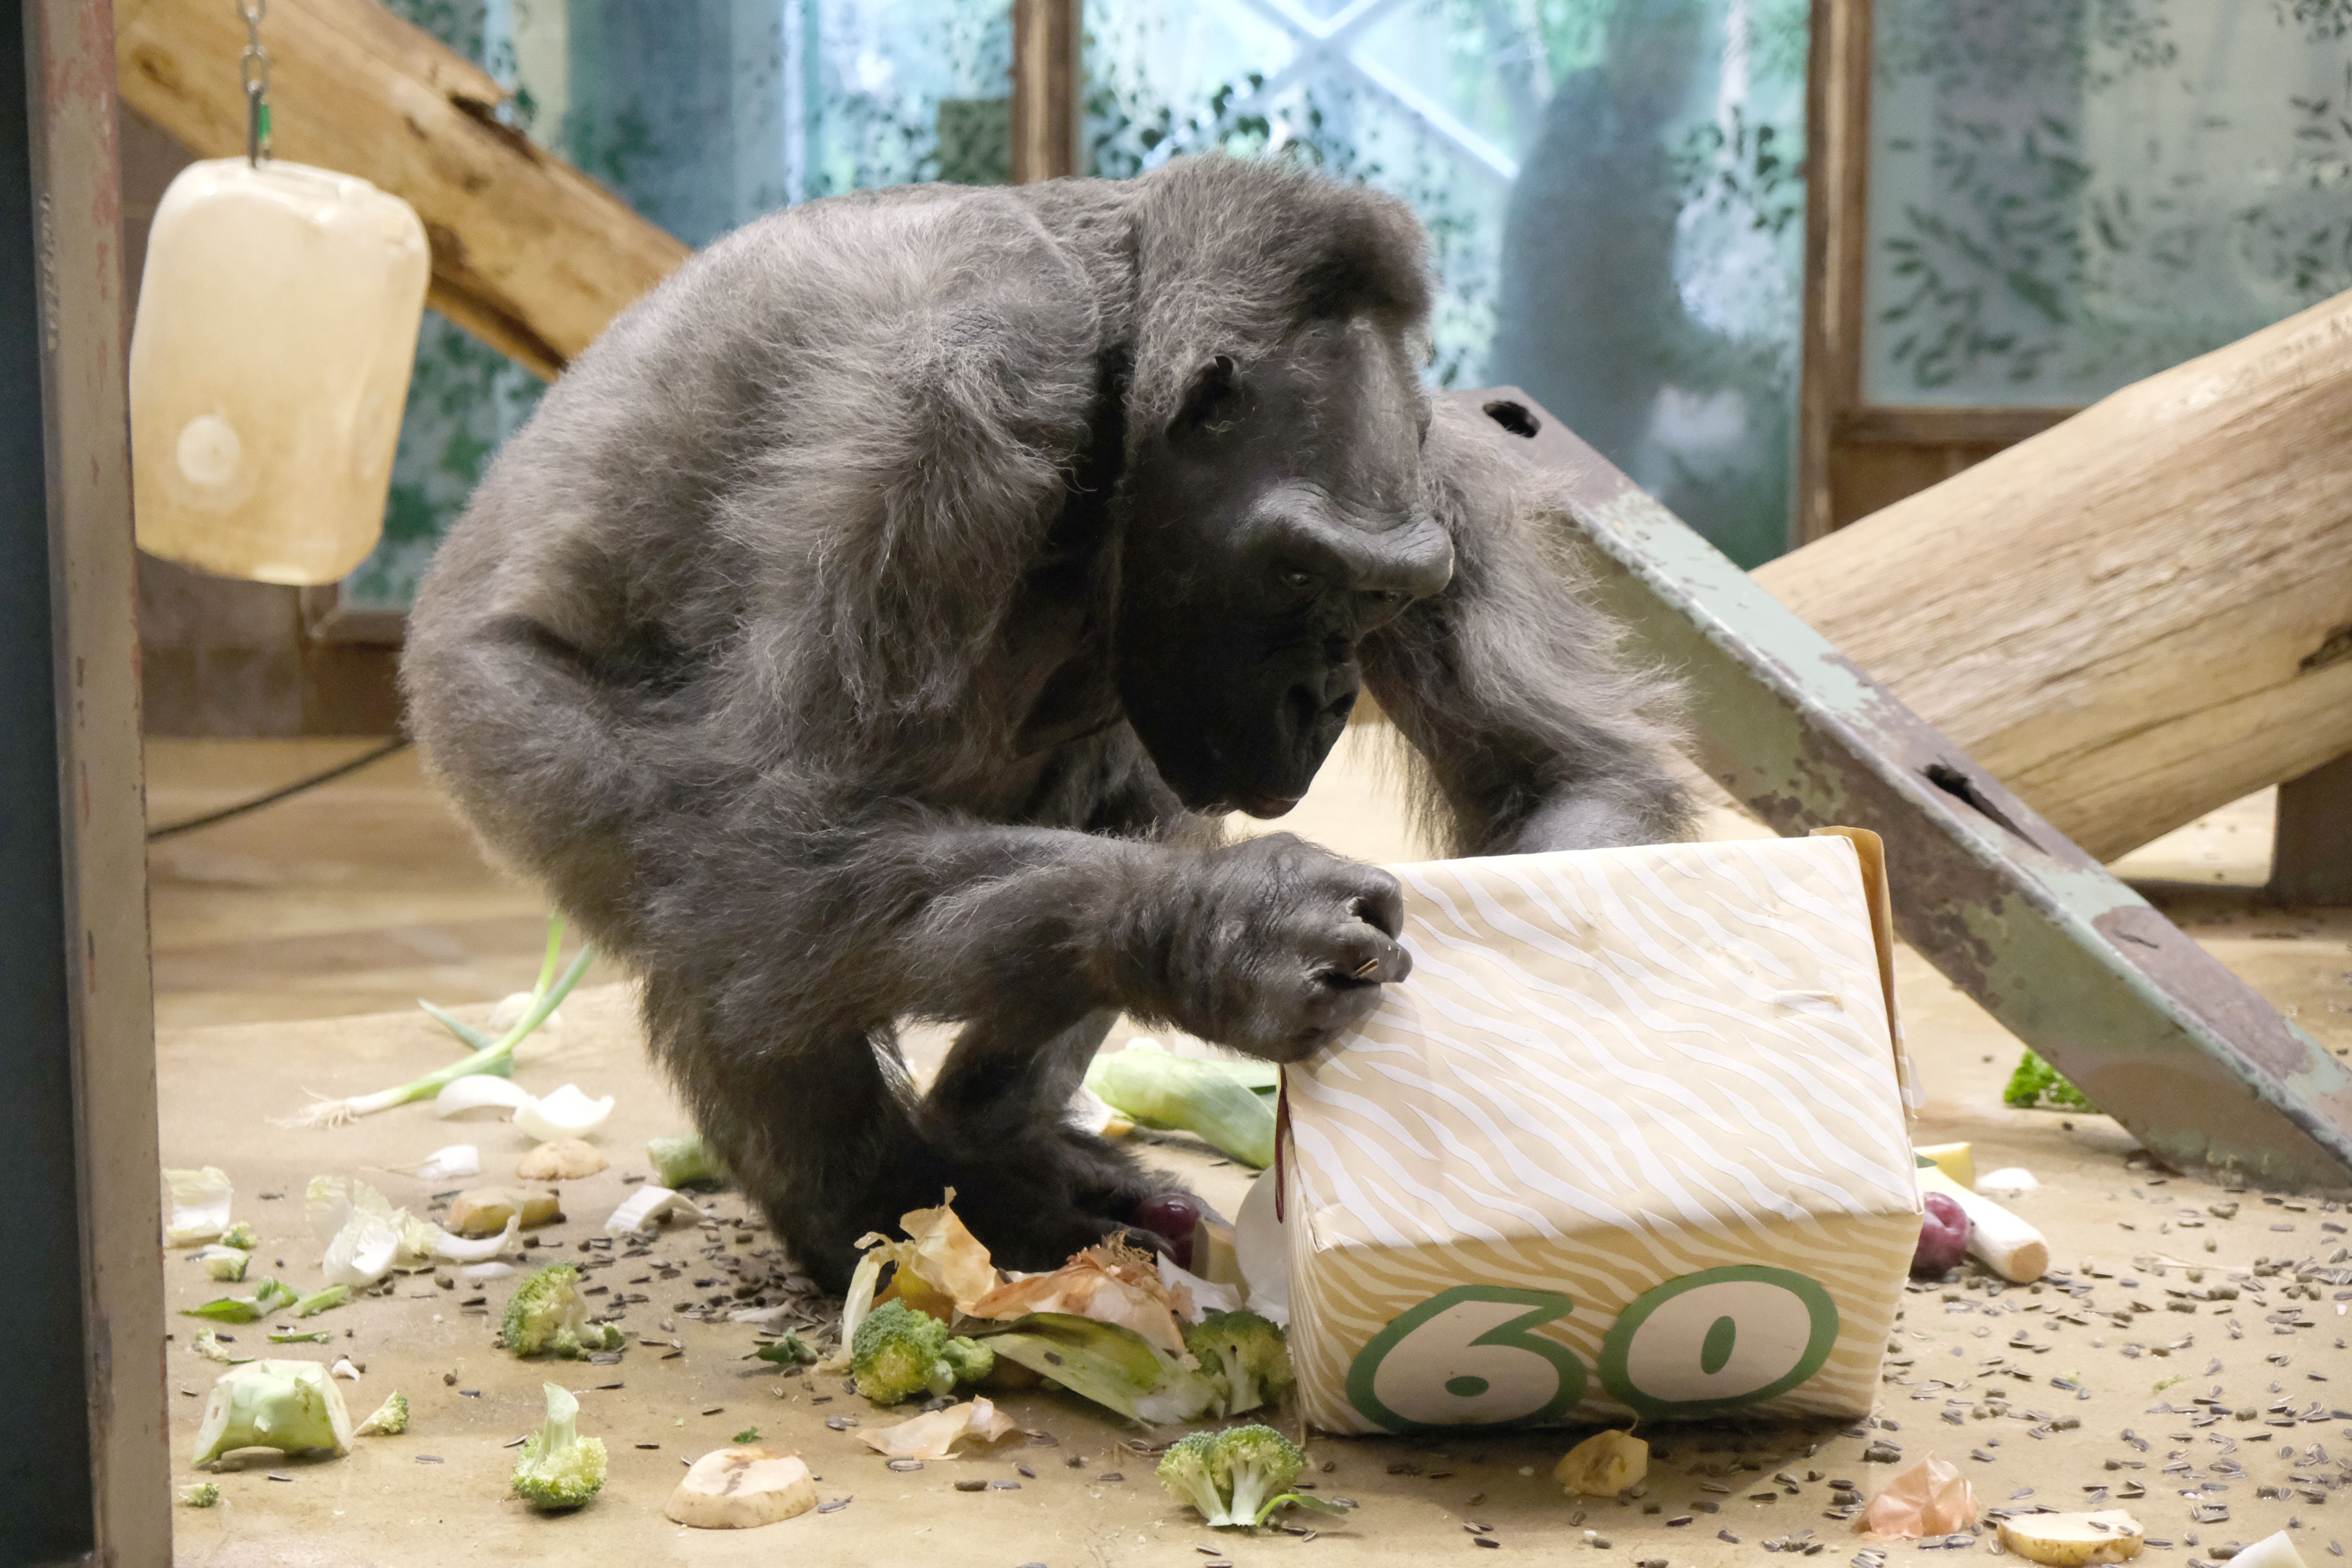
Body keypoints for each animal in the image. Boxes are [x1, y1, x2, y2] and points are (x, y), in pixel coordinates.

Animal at [409, 156, 1693, 1288]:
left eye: (1380, 598)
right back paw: (879, 1217)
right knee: (728, 903)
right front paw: (1228, 929)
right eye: (1295, 578)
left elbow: (1561, 771)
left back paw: (997, 1137)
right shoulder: (948, 400)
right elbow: (782, 821)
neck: (1112, 379)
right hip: (494, 729)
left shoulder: (1445, 485)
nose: (1326, 696)